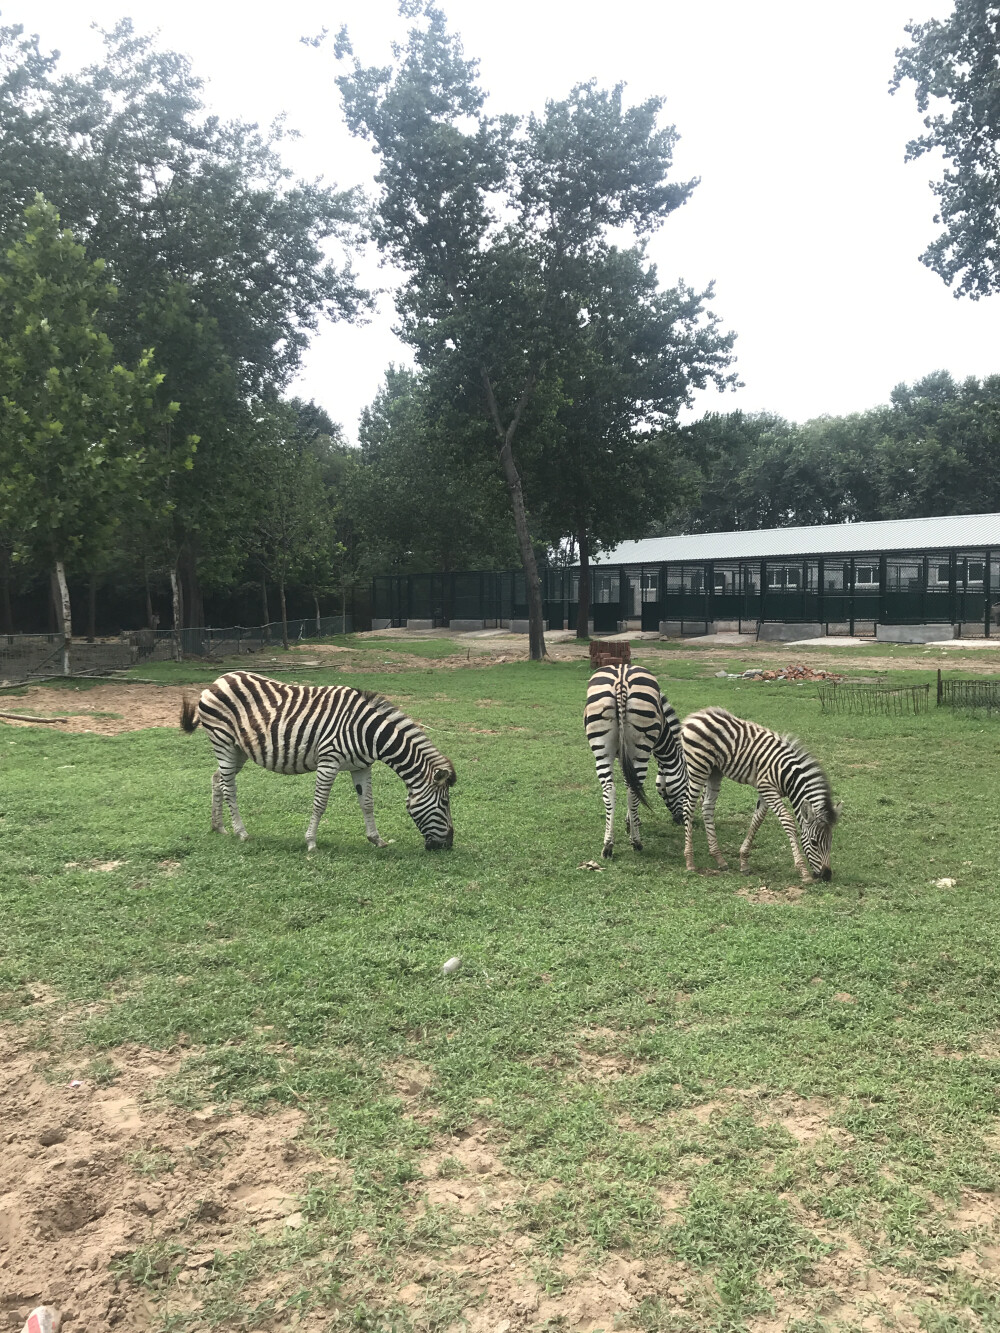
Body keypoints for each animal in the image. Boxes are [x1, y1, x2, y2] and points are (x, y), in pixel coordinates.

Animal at [181, 666, 458, 853]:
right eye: (445, 804)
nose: (448, 845)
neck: (369, 732)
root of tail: (219, 680)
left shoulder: (362, 766)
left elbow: (367, 803)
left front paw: (376, 839)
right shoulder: (329, 760)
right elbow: (320, 803)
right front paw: (311, 843)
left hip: (239, 749)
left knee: (217, 779)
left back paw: (218, 827)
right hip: (224, 741)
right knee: (230, 787)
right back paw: (241, 832)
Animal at [586, 661, 688, 858]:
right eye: (686, 785)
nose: (679, 820)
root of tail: (621, 679)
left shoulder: (622, 754)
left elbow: (627, 782)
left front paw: (629, 821)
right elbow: (632, 786)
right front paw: (632, 822)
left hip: (601, 747)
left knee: (610, 790)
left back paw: (608, 845)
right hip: (641, 748)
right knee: (634, 791)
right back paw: (636, 842)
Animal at [682, 709, 837, 885]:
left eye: (831, 841)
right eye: (814, 842)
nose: (827, 875)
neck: (788, 776)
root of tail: (696, 715)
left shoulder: (765, 792)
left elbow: (757, 820)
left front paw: (744, 861)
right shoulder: (767, 788)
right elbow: (787, 820)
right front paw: (803, 871)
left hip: (714, 770)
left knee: (707, 806)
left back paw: (719, 858)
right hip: (698, 767)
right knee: (688, 806)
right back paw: (690, 861)